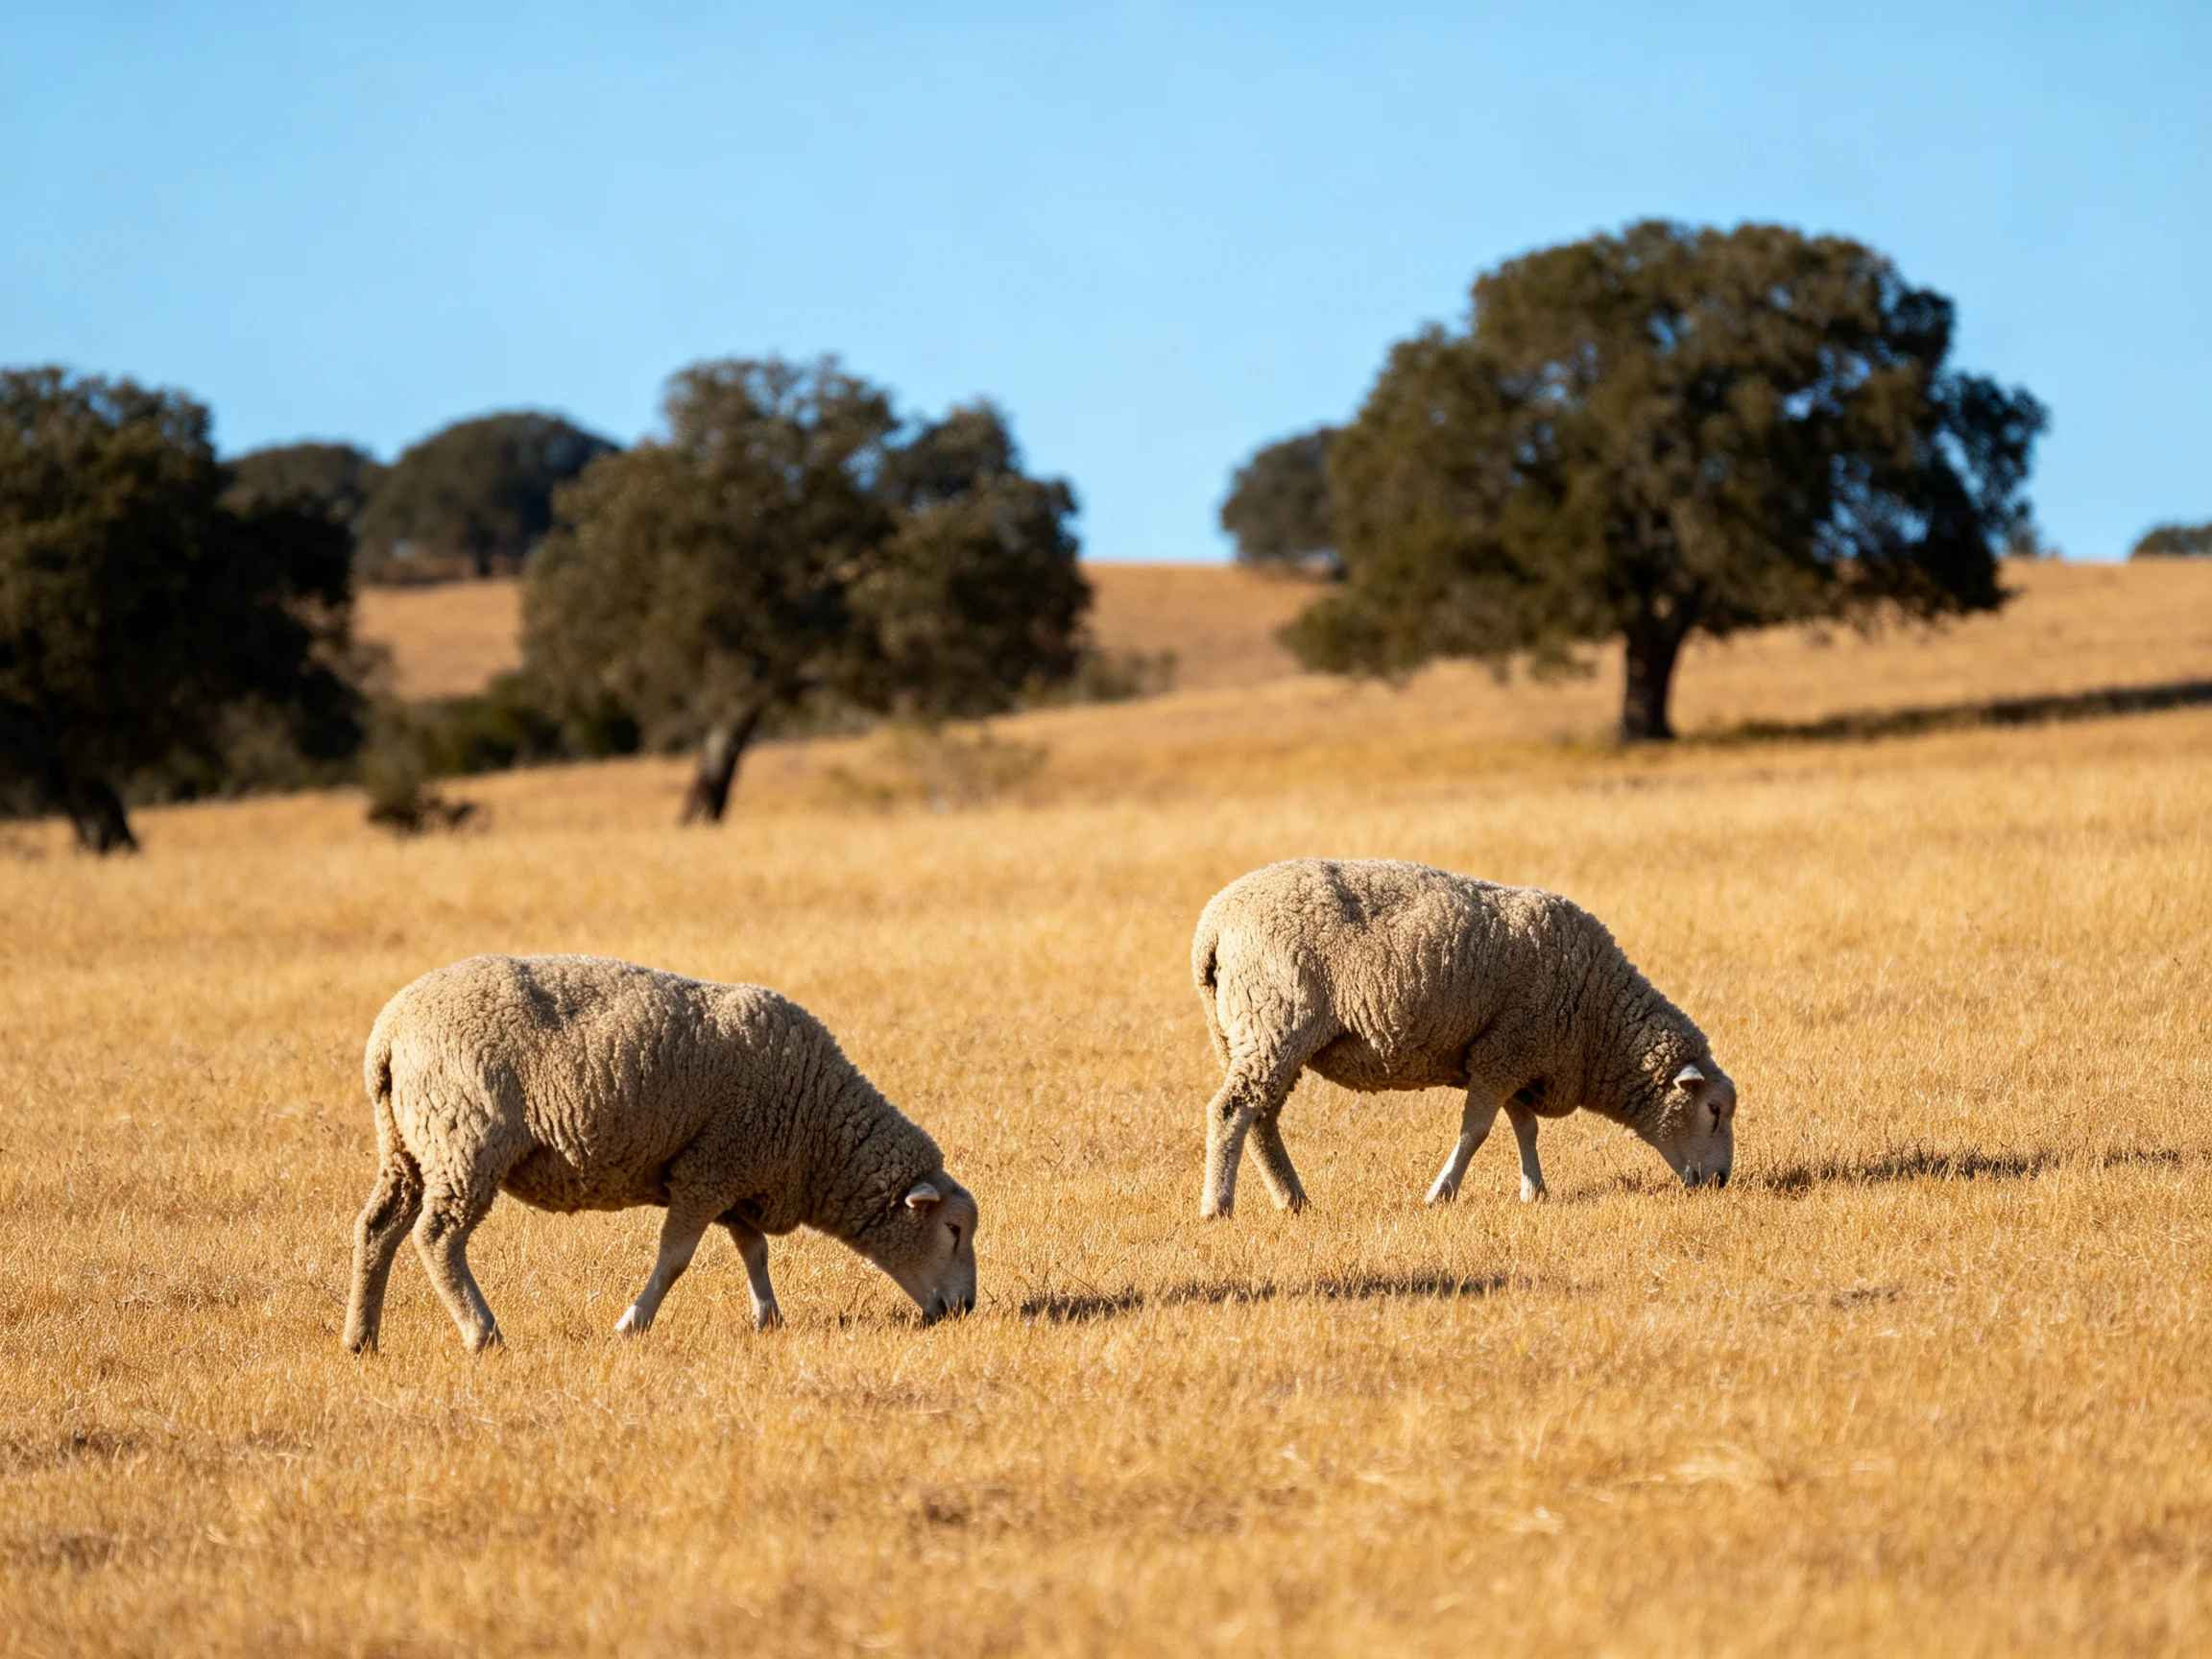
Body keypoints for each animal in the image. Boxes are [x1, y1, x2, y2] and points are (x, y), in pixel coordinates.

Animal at [343, 954, 978, 1353]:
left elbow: (754, 1251)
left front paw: (768, 1317)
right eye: (952, 1229)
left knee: (377, 1228)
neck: (816, 1123)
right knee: (437, 1238)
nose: (965, 1310)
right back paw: (482, 1334)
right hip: (464, 1139)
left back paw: (361, 1338)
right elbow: (675, 1260)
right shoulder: (709, 1170)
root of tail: (387, 1035)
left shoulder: (733, 1174)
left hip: (409, 1144)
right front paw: (632, 1324)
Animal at [1191, 859, 1736, 1218]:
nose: (1720, 1181)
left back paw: (1293, 1200)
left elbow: (1525, 1128)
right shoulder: (1507, 1049)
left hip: (1241, 1031)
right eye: (1713, 1110)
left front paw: (1534, 1190)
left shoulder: (1514, 1053)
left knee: (1261, 1118)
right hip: (1274, 1019)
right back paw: (1218, 1207)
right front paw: (1442, 1193)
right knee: (1233, 1111)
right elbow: (1476, 1132)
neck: (1596, 1019)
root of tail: (1213, 926)